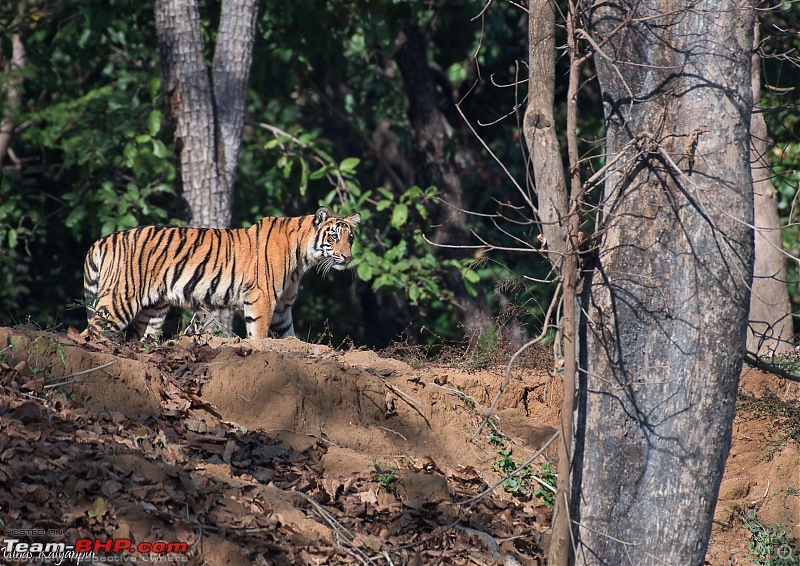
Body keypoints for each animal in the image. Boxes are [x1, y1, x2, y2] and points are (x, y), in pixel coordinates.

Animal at [81, 209, 360, 342]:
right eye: (333, 237)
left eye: (350, 238)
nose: (347, 258)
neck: (303, 258)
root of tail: (103, 240)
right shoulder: (262, 297)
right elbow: (259, 333)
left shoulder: (282, 306)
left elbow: (287, 335)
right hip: (120, 299)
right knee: (93, 332)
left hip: (154, 311)